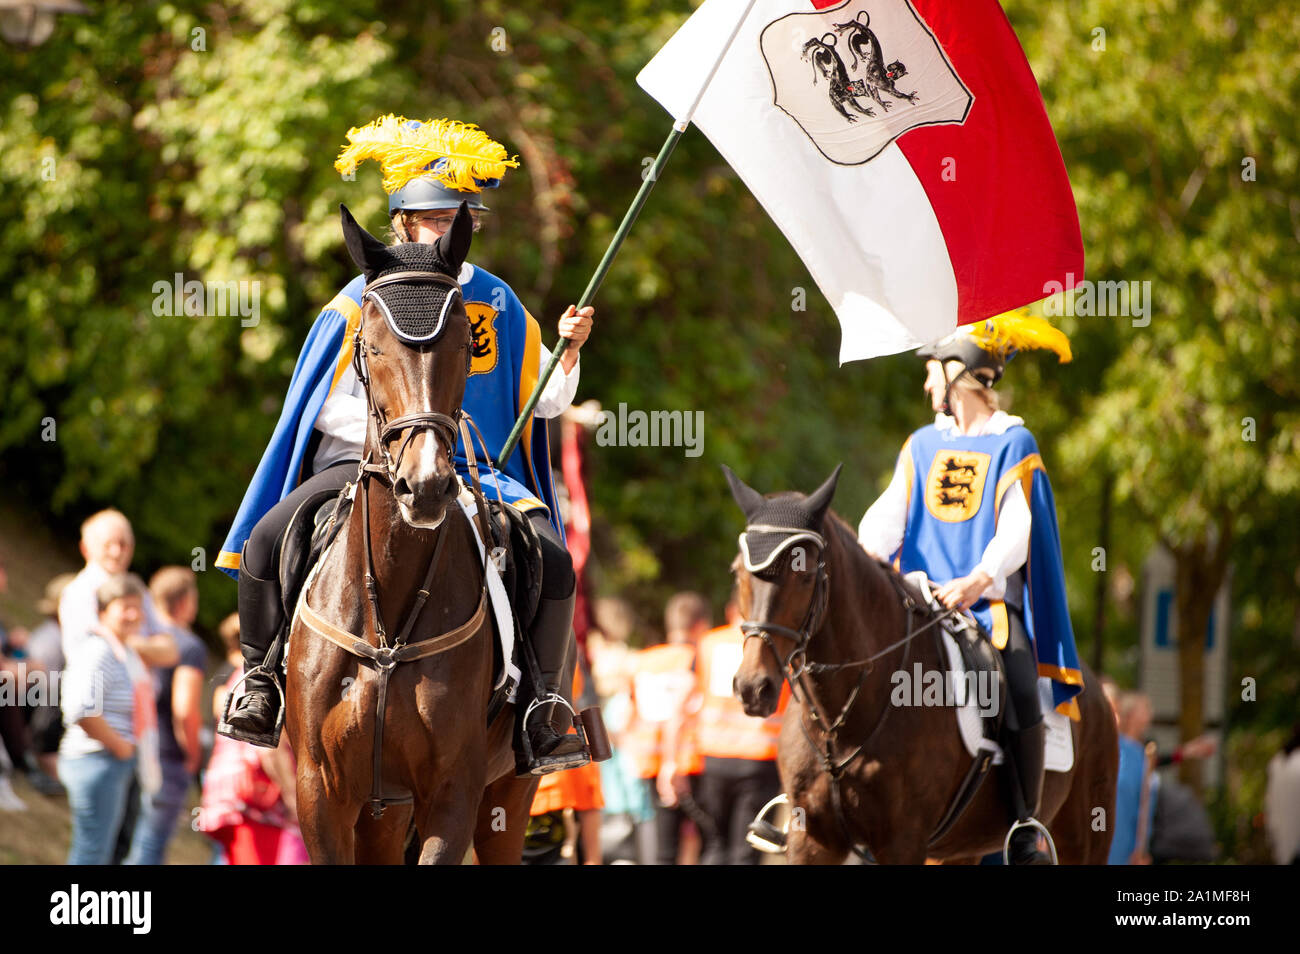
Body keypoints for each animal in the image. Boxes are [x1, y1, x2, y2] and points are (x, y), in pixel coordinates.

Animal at [722, 465, 1118, 868]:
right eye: (738, 572)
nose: (753, 687)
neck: (844, 719)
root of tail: (1093, 690)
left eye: (803, 576)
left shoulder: (903, 841)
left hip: (1084, 838)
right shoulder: (812, 841)